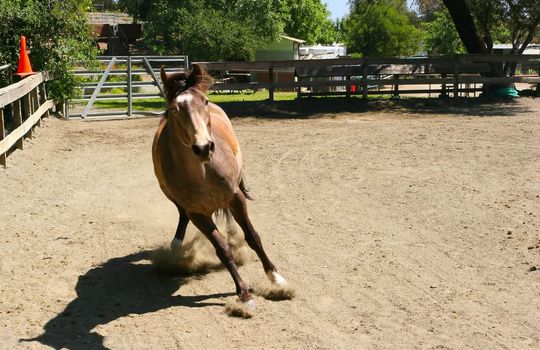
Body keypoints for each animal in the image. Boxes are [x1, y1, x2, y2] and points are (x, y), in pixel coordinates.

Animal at [152, 63, 286, 308]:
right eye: (175, 109)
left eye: (204, 101)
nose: (204, 147)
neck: (202, 174)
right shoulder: (197, 213)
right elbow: (222, 250)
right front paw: (243, 293)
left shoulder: (236, 197)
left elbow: (253, 237)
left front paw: (275, 277)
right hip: (174, 199)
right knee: (181, 215)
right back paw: (176, 246)